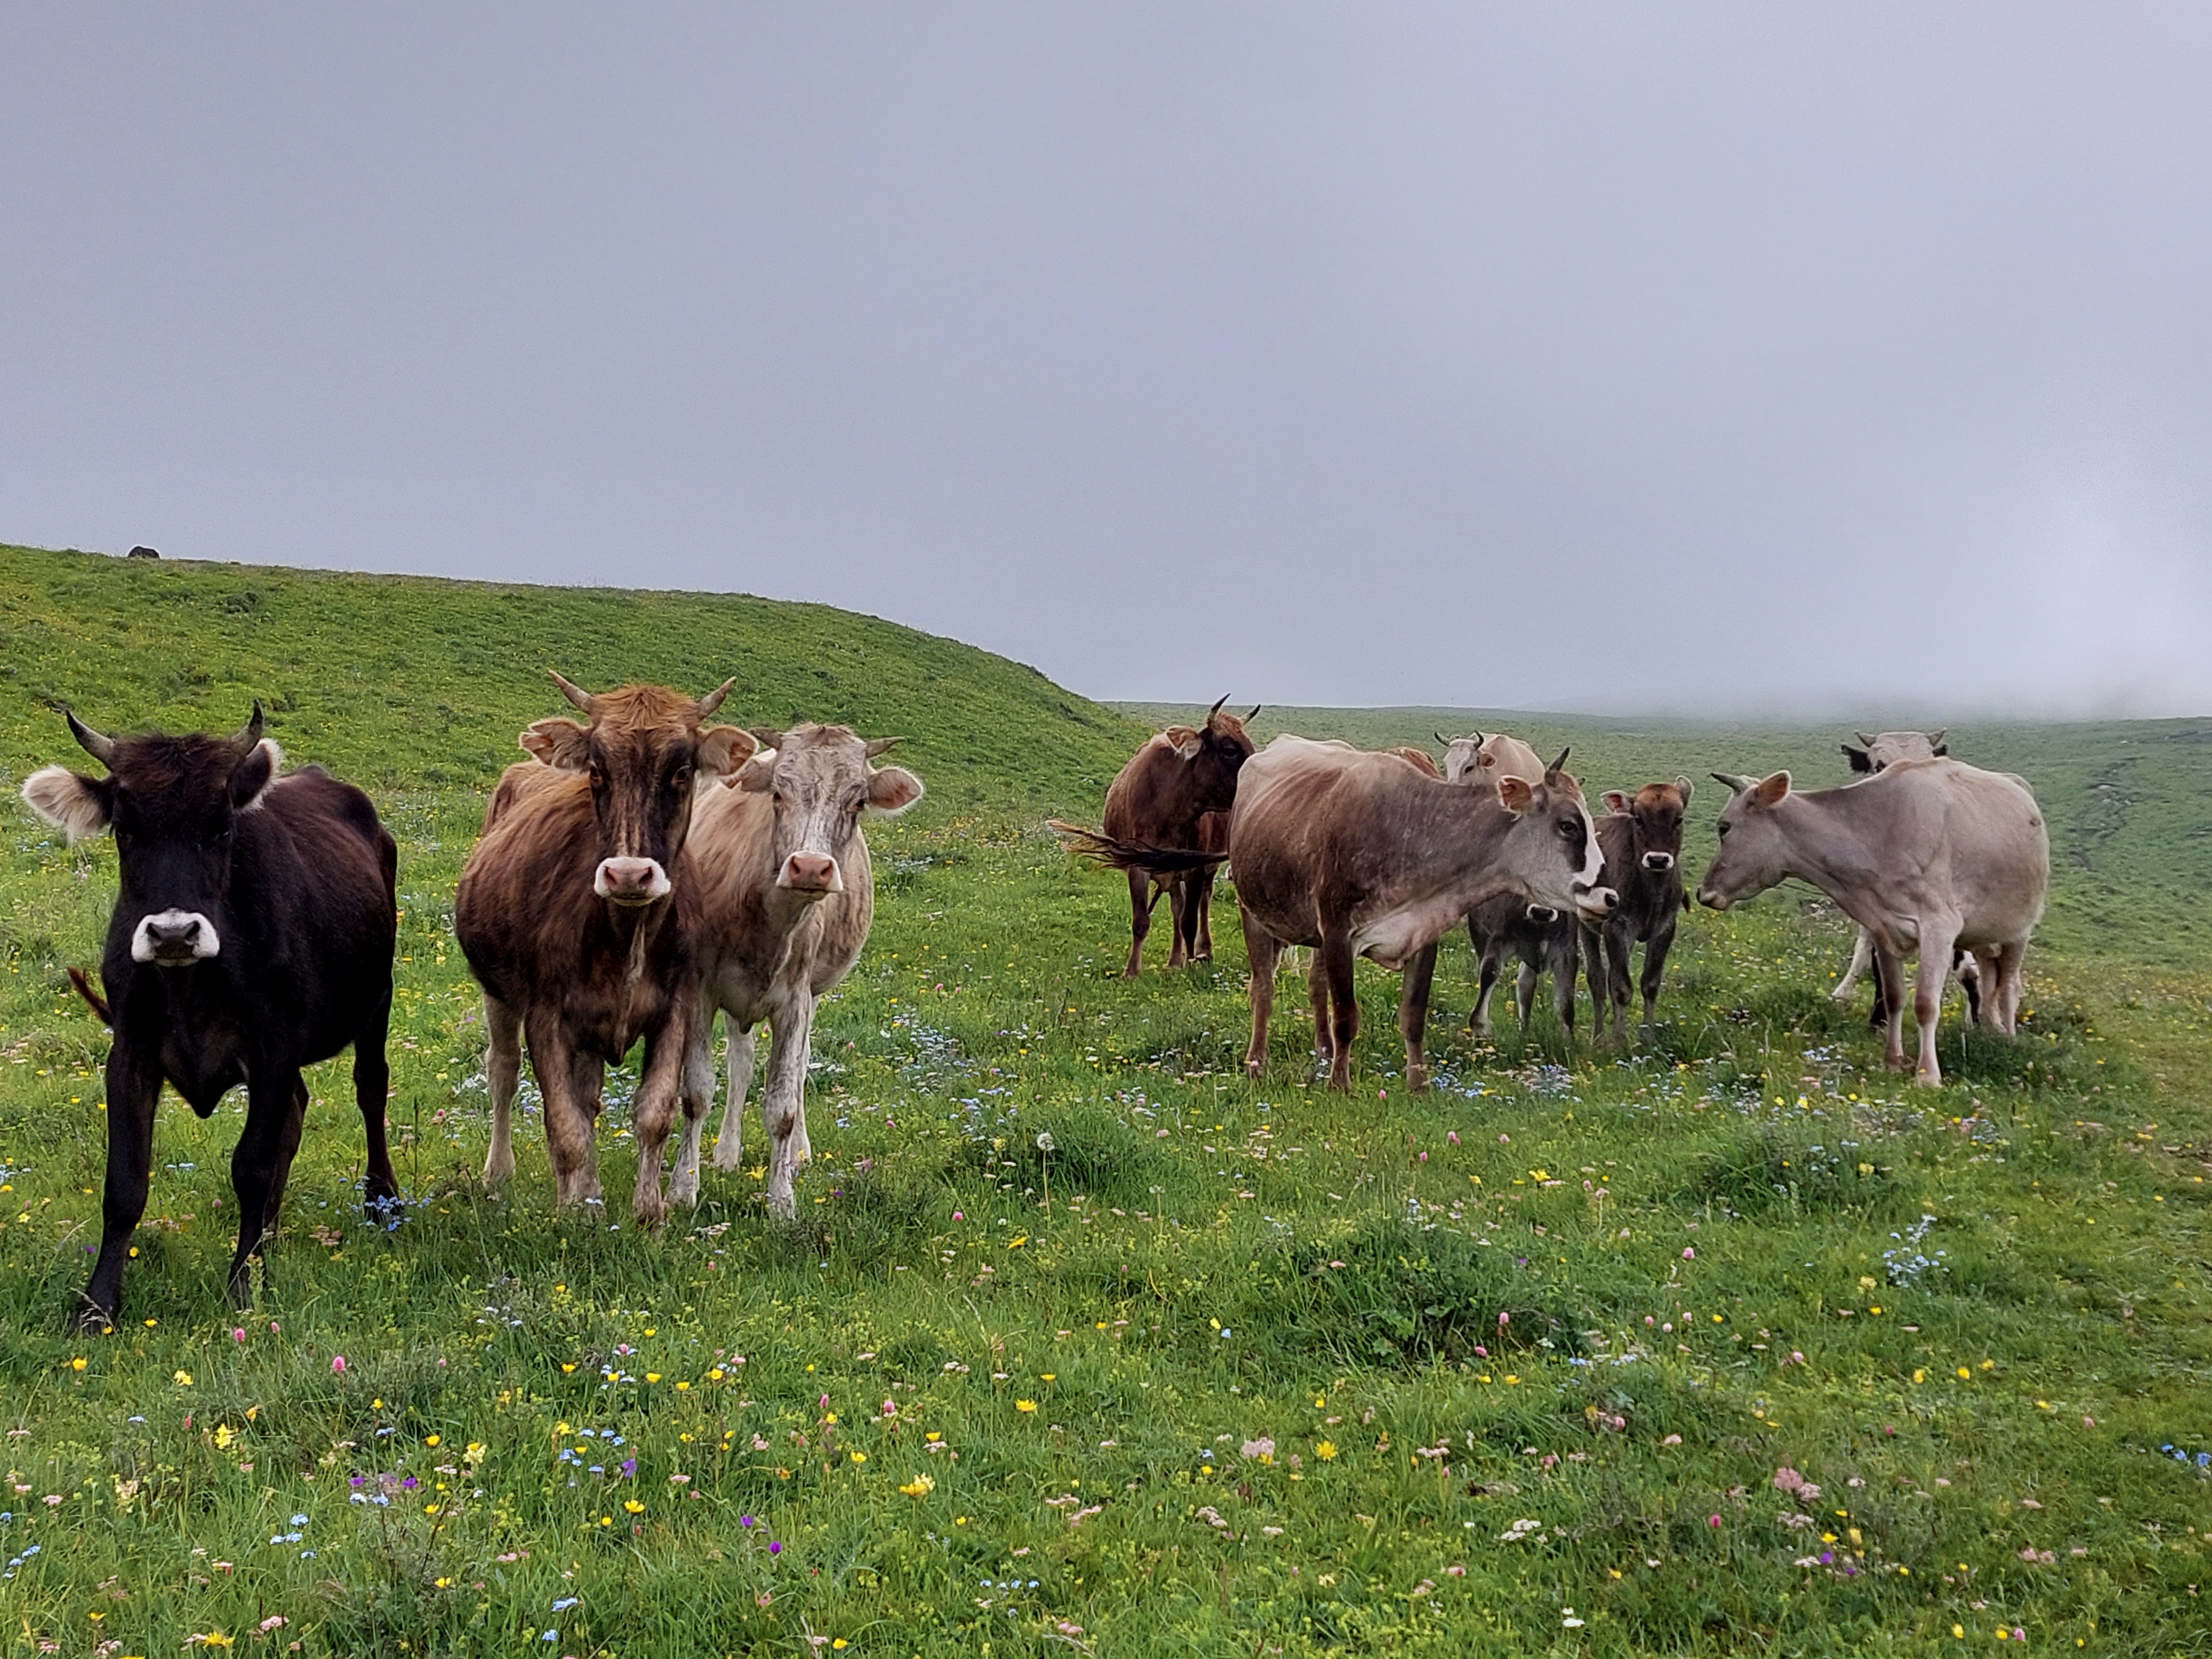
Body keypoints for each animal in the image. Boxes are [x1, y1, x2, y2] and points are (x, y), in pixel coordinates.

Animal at [22, 708, 400, 1336]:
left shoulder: (274, 1044)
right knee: (297, 1110)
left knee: (370, 1090)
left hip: (378, 998)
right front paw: (97, 1306)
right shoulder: (130, 1050)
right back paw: (271, 1231)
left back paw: (380, 1201)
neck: (188, 984)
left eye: (221, 829)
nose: (173, 933)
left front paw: (244, 1286)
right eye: (125, 831)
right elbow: (125, 1182)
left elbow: (251, 1165)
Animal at [1229, 739, 1610, 1093]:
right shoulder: (1339, 935)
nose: (1610, 896)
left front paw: (1418, 1084)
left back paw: (1323, 1052)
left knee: (1317, 986)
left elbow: (1414, 1016)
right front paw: (1340, 1084)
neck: (1410, 833)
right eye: (1569, 826)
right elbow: (1347, 1017)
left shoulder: (1424, 936)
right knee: (1263, 990)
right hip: (1254, 914)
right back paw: (1256, 1062)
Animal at [1699, 756, 2044, 1093]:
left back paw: (2008, 1037)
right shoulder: (1882, 926)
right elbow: (1893, 996)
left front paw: (1927, 1075)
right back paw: (1989, 1029)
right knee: (1989, 977)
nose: (1704, 893)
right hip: (1984, 935)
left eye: (1723, 827)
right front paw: (1892, 1061)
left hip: (2019, 931)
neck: (1878, 832)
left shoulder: (1939, 927)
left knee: (2009, 985)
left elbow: (1925, 1003)